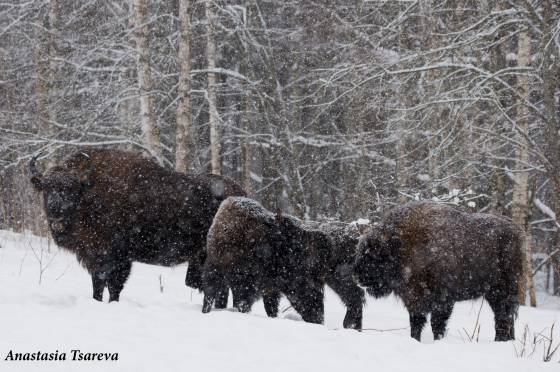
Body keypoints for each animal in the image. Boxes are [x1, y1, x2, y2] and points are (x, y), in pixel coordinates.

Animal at [30, 147, 245, 302]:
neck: (89, 193)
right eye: (46, 188)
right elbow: (97, 286)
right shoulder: (95, 259)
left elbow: (113, 287)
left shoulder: (118, 259)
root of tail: (241, 193)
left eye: (71, 189)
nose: (55, 211)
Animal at [354, 202, 524, 342]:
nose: (356, 277)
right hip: (492, 293)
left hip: (503, 290)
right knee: (504, 316)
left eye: (374, 254)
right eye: (360, 251)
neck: (402, 245)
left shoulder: (442, 300)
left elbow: (436, 324)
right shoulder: (414, 300)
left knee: (503, 316)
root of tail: (517, 231)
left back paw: (501, 340)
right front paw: (415, 339)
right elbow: (416, 323)